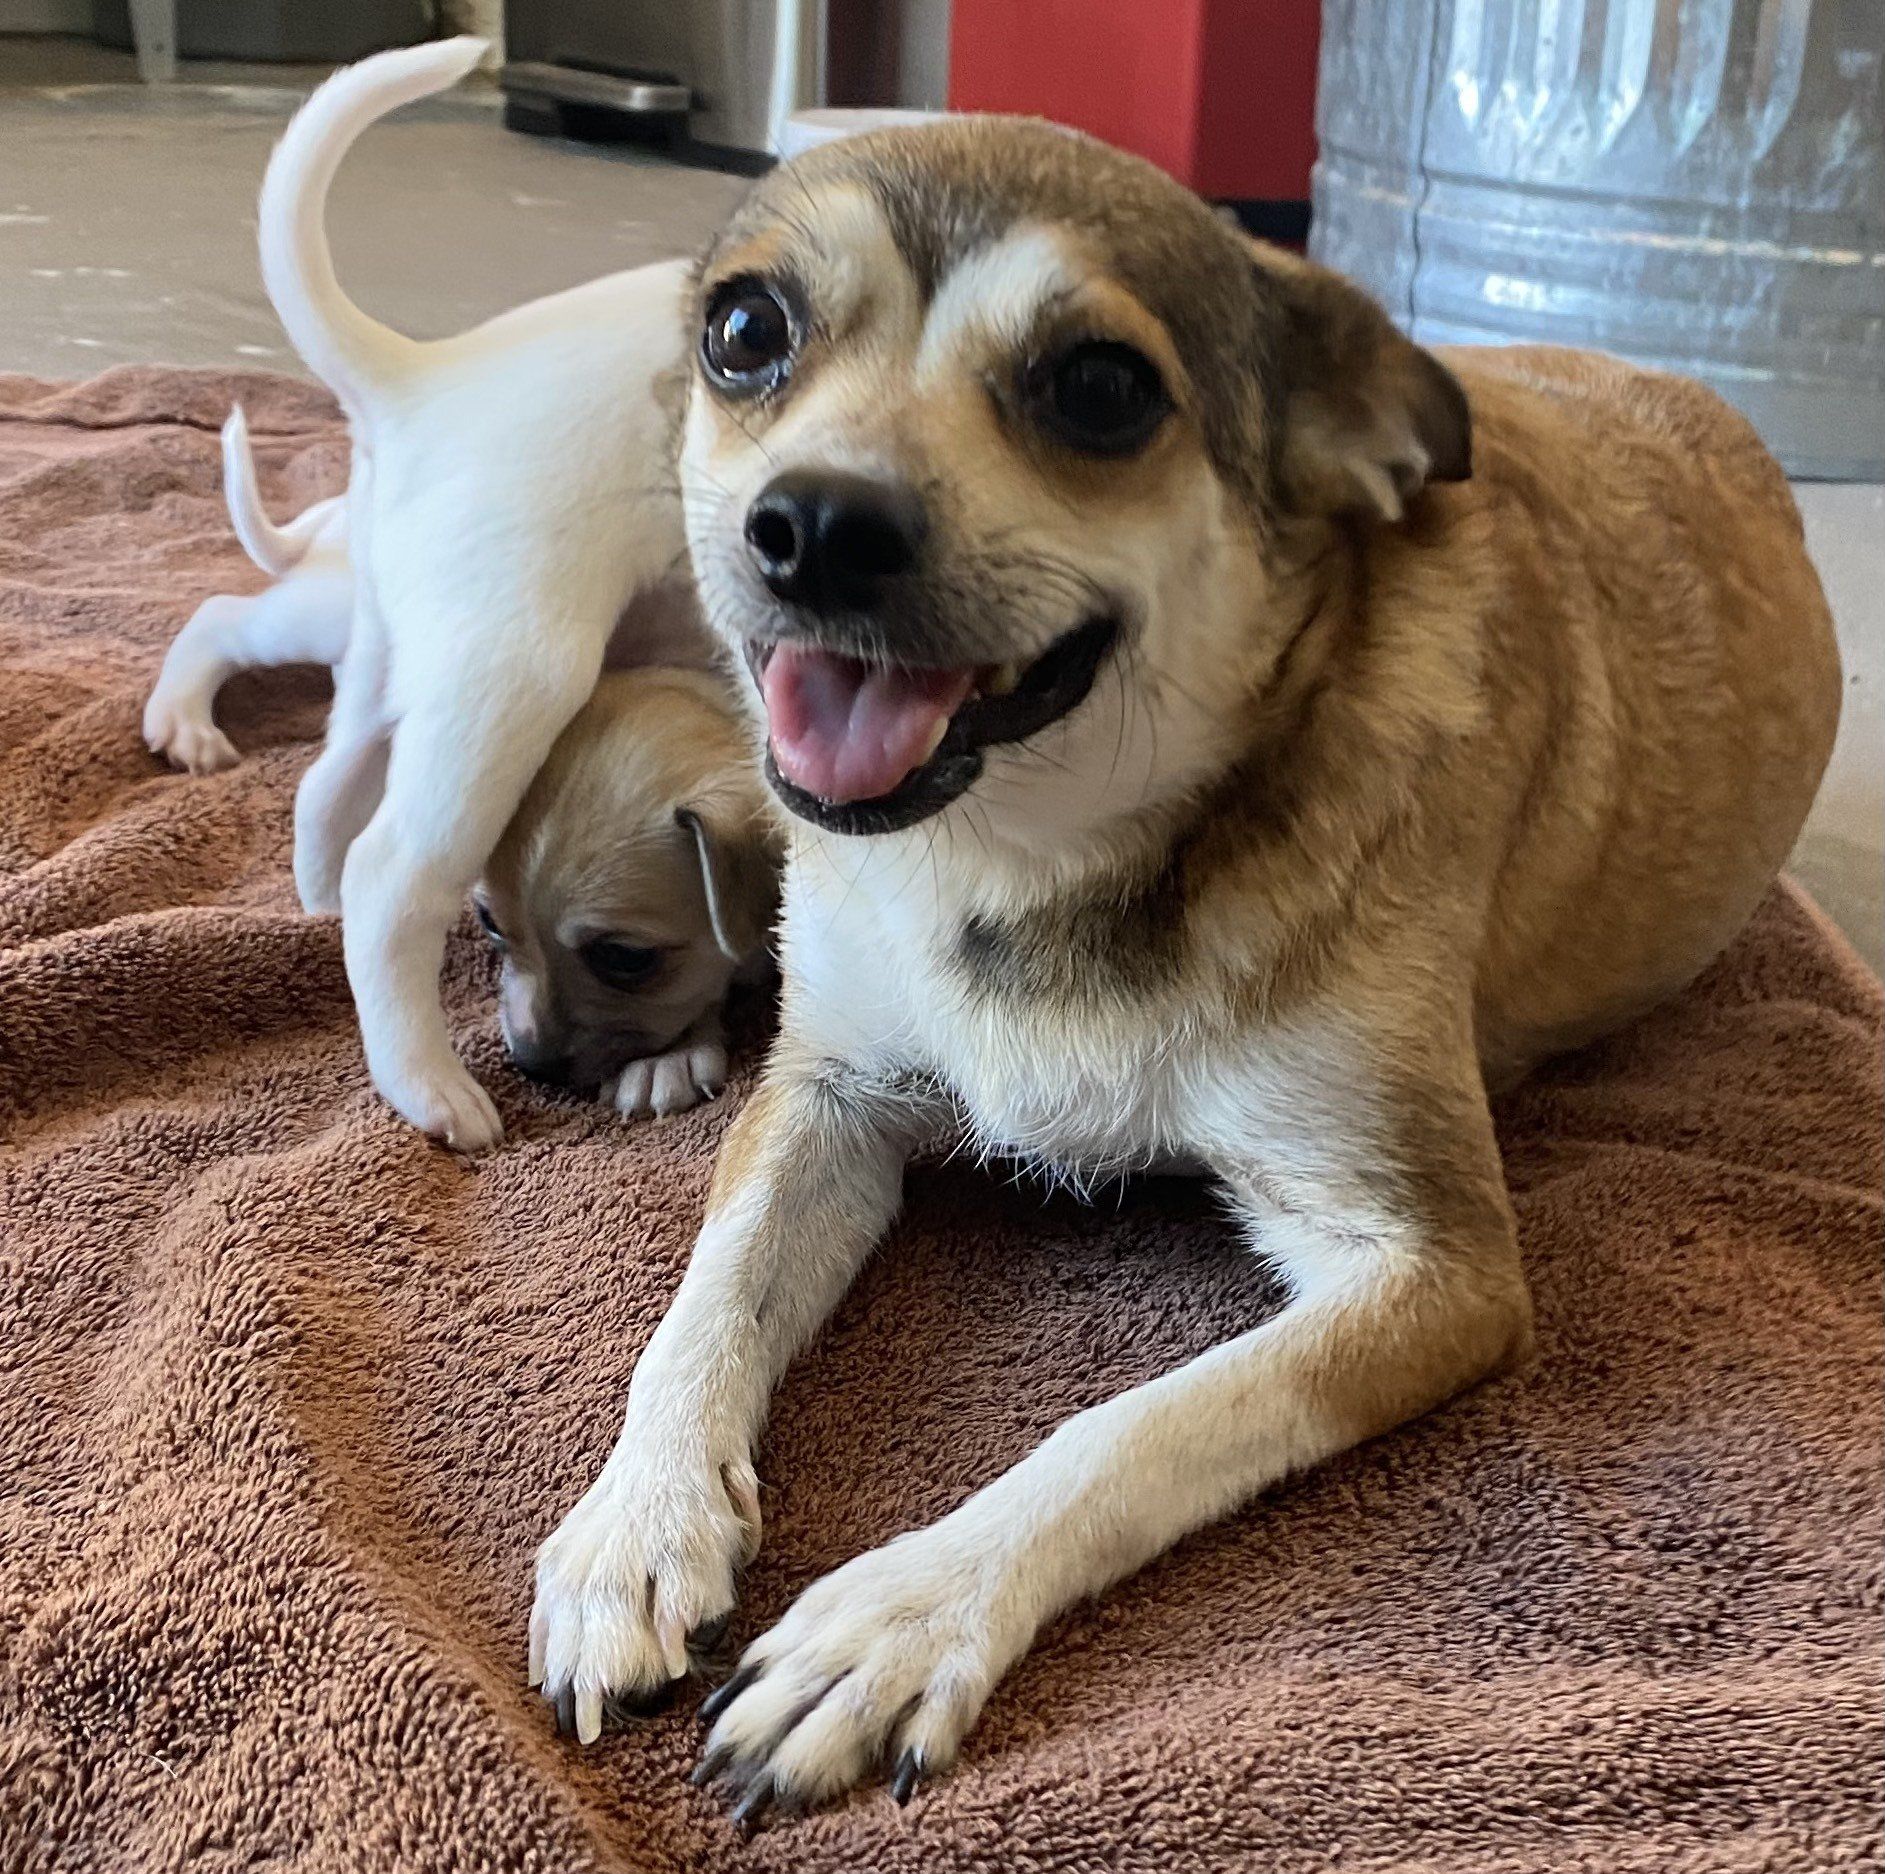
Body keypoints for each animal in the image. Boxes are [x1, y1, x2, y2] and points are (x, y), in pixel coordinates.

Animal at [244, 38, 697, 1150]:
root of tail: (423, 375)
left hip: (389, 661)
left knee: (323, 790)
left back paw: (309, 911)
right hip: (512, 677)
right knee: (391, 873)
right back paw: (428, 1085)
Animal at [526, 118, 1842, 1817]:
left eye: (1100, 387)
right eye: (746, 331)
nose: (813, 523)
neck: (1028, 858)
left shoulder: (1429, 1268)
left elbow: (1125, 1426)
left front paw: (899, 1616)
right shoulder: (825, 1102)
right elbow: (701, 1310)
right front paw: (631, 1527)